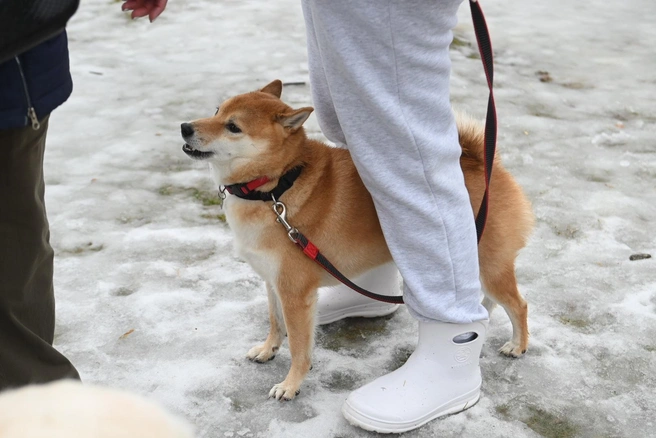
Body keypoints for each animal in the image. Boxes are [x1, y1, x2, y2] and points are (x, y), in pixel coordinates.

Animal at [179, 79, 532, 400]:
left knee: (518, 304)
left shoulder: (294, 292)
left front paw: (291, 384)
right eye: (217, 110)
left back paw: (518, 345)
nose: (184, 127)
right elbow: (275, 322)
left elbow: (299, 347)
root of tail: (481, 163)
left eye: (233, 127)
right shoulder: (273, 281)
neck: (276, 187)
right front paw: (268, 349)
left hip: (488, 264)